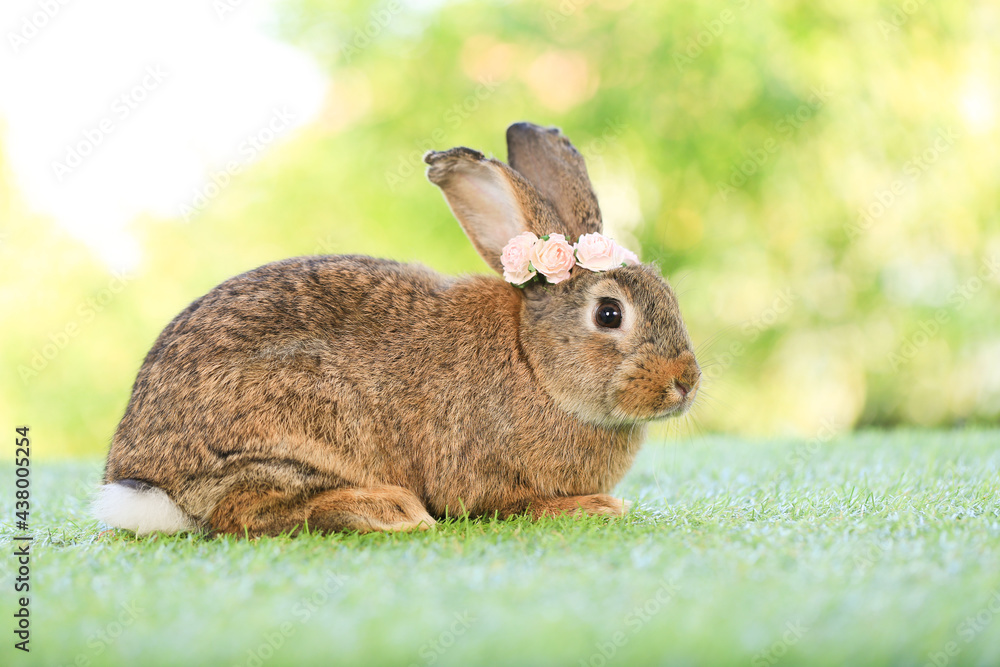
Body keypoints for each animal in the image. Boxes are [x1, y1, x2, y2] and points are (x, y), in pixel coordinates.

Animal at [94, 122, 702, 537]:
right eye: (609, 314)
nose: (686, 383)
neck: (535, 361)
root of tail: (144, 481)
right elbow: (511, 507)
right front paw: (595, 506)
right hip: (289, 427)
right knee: (247, 513)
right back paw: (390, 510)